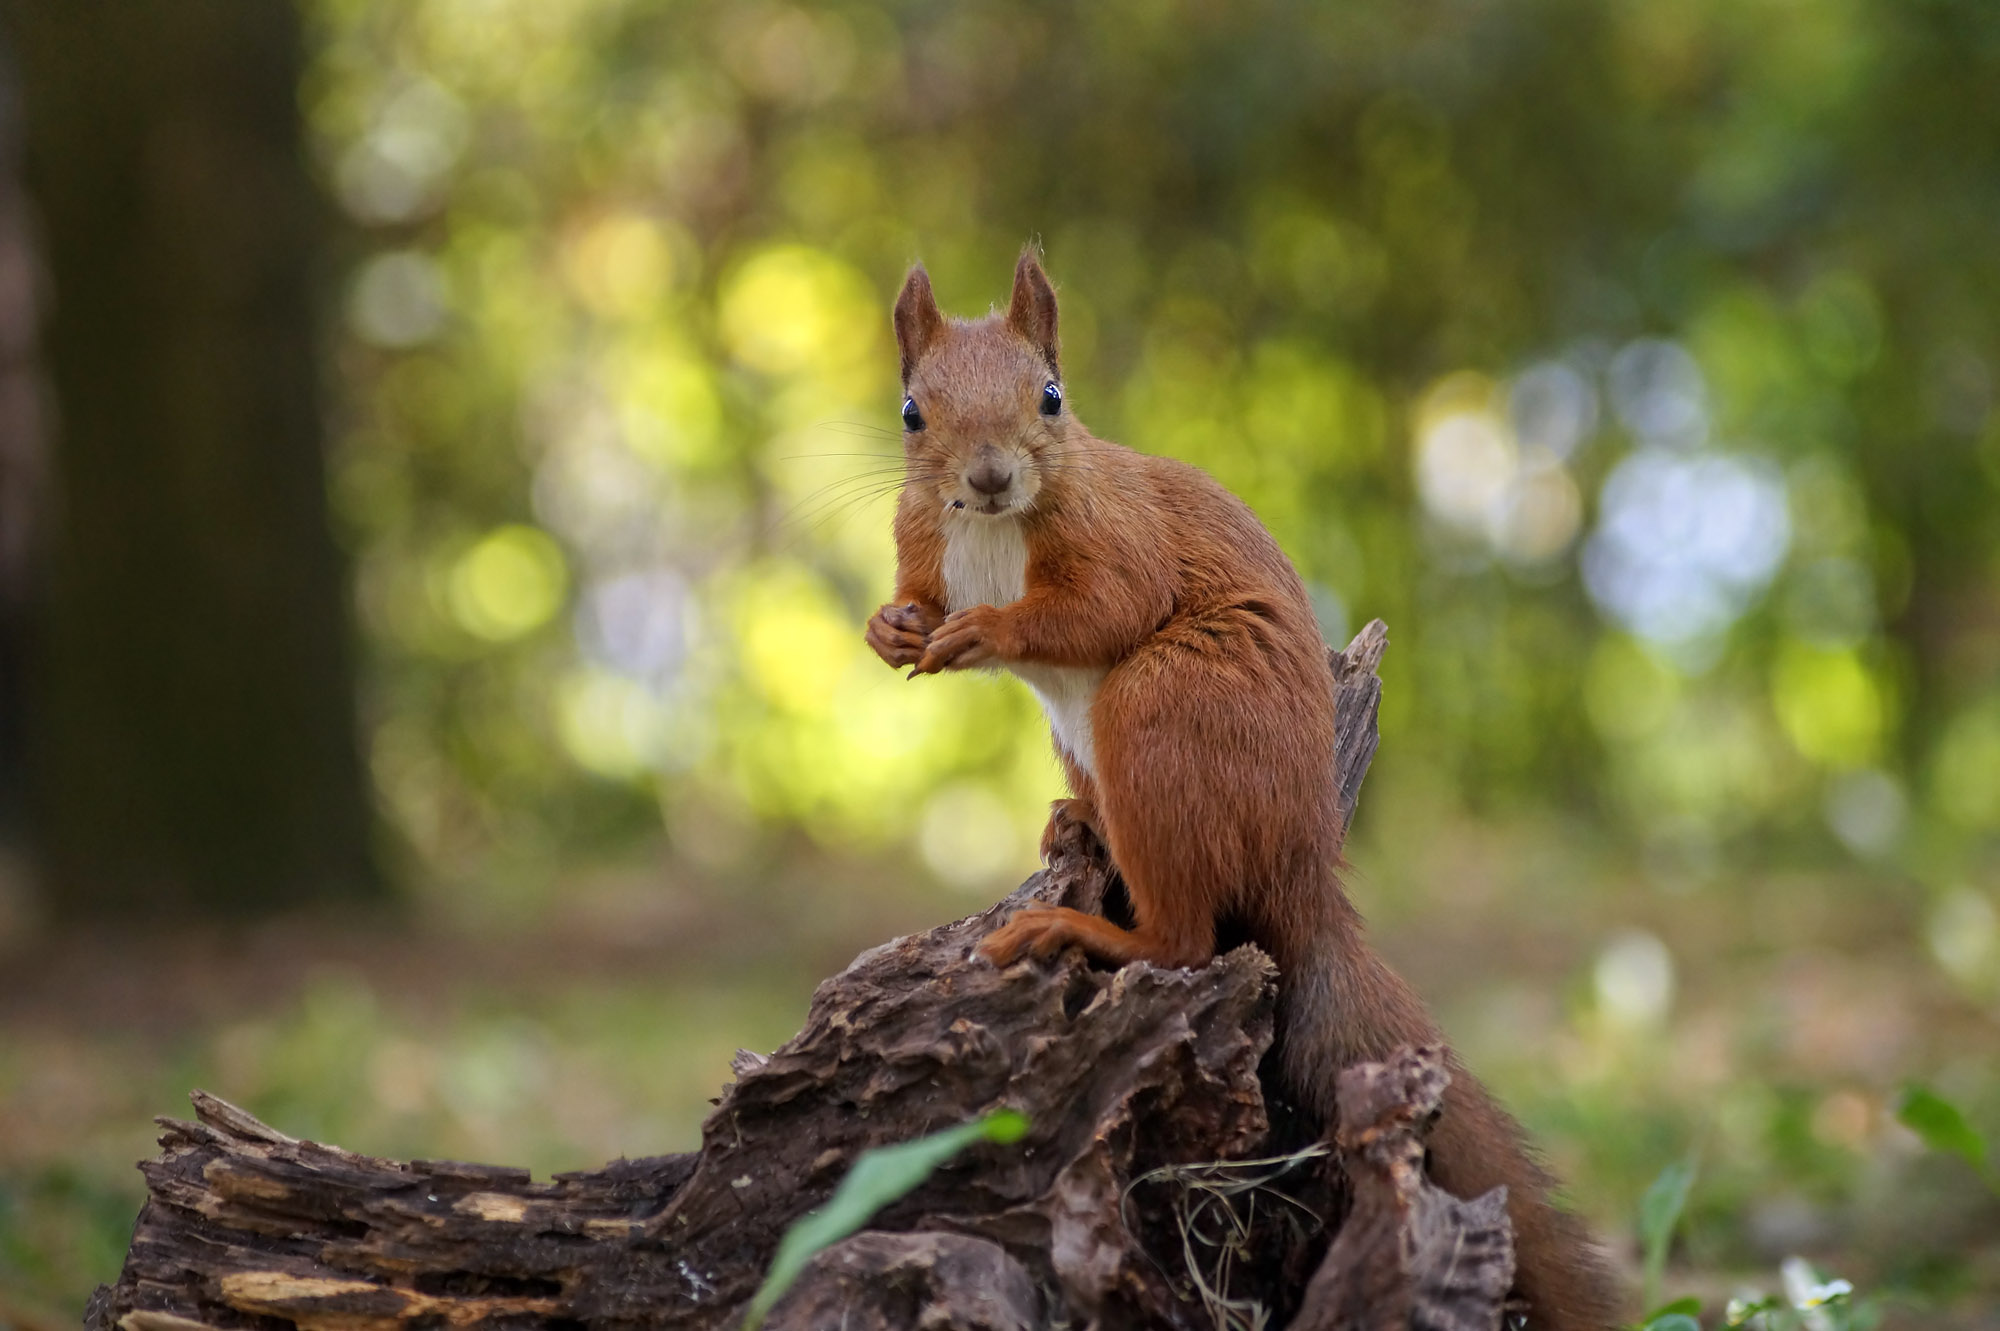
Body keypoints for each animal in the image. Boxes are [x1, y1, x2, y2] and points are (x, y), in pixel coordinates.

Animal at [864, 251, 1624, 1327]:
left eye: (1050, 395)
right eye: (910, 412)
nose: (989, 476)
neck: (996, 529)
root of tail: (1303, 862)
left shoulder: (1119, 539)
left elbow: (1105, 606)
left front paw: (990, 631)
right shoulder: (919, 535)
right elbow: (919, 597)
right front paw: (890, 629)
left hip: (1161, 708)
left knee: (1183, 941)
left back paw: (1081, 928)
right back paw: (1075, 822)